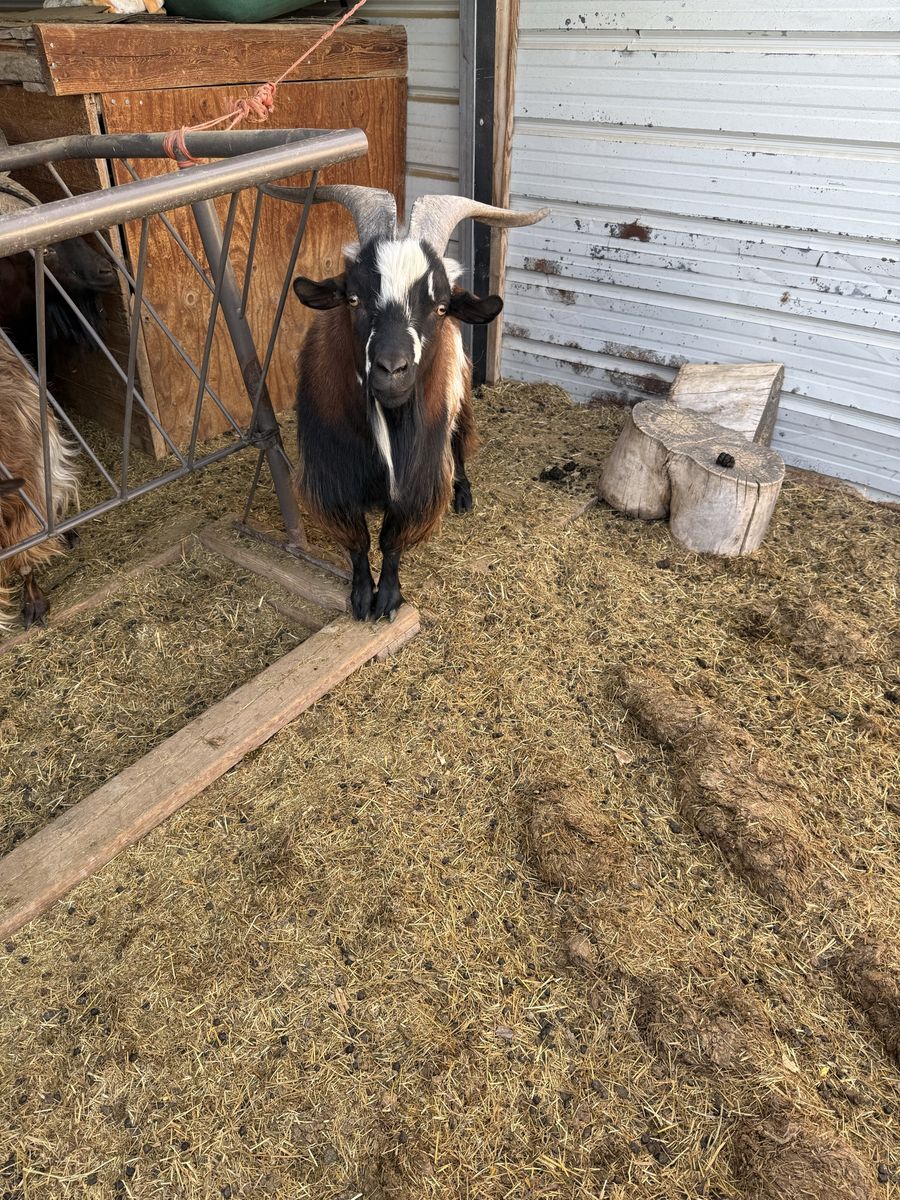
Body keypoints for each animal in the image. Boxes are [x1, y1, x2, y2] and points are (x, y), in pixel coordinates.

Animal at [288, 187, 548, 621]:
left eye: (440, 307)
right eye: (353, 299)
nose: (392, 370)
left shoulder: (418, 474)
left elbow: (392, 541)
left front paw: (389, 599)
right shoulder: (333, 475)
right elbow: (358, 542)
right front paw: (363, 597)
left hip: (459, 396)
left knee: (459, 444)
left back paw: (463, 494)